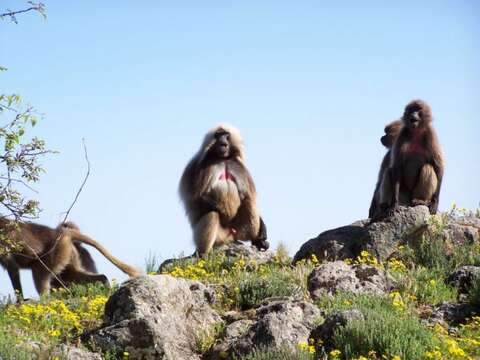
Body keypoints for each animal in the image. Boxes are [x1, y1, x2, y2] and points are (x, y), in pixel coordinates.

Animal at [0, 219, 142, 298]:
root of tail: (62, 233)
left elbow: (12, 267)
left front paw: (19, 301)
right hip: (67, 254)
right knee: (73, 275)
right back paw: (104, 284)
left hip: (55, 252)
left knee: (39, 272)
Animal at [181, 124, 270, 256]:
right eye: (218, 135)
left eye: (226, 134)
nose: (223, 143)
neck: (223, 159)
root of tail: (231, 236)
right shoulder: (198, 167)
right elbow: (195, 197)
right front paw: (225, 212)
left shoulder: (238, 166)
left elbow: (246, 195)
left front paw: (262, 233)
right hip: (220, 236)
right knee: (212, 214)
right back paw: (202, 254)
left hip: (238, 230)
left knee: (248, 199)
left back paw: (256, 239)